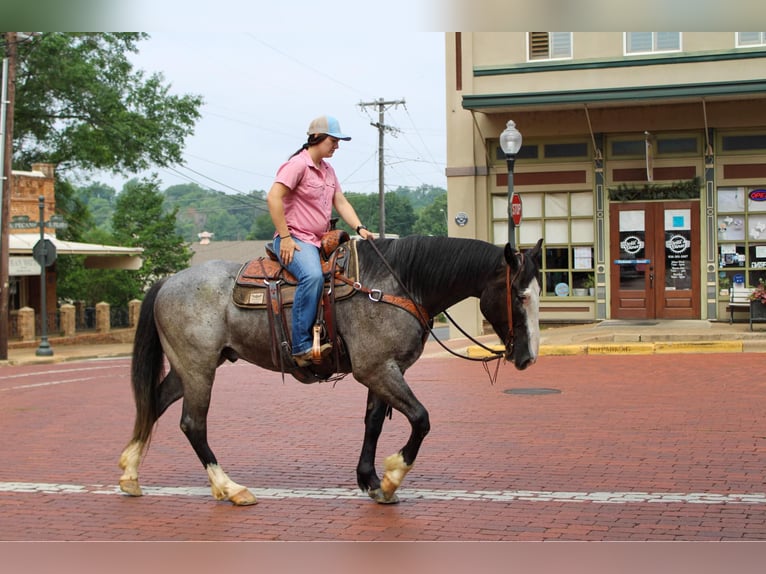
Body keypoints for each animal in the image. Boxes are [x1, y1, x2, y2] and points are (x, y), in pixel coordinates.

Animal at [118, 235, 543, 506]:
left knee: (153, 405)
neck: (396, 286)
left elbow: (374, 422)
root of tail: (168, 281)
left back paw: (130, 475)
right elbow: (421, 419)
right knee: (193, 424)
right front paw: (392, 477)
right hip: (198, 368)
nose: (528, 358)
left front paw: (370, 480)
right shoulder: (376, 369)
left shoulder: (384, 370)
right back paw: (231, 488)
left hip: (188, 367)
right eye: (520, 295)